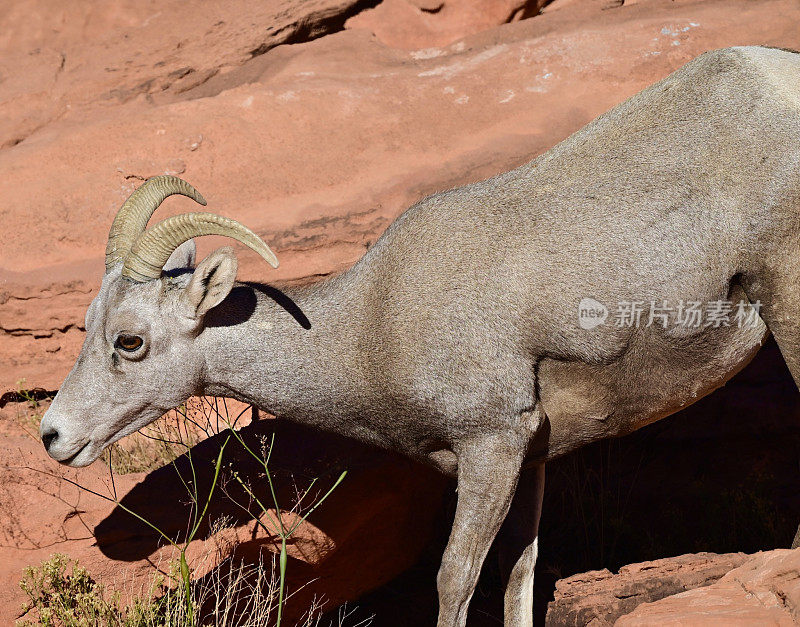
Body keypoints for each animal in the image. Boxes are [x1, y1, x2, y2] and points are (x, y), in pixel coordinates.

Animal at [42, 46, 800, 624]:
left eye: (130, 341)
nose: (53, 434)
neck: (367, 329)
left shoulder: (491, 444)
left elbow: (456, 579)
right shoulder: (531, 454)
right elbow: (518, 577)